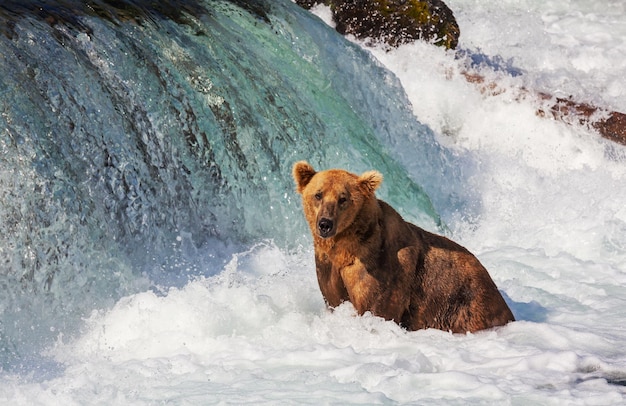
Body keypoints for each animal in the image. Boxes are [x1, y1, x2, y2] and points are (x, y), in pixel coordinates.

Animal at [292, 161, 512, 334]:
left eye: (343, 198)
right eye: (318, 194)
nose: (325, 224)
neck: (344, 247)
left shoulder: (383, 268)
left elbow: (375, 308)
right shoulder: (328, 268)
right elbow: (334, 298)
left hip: (465, 305)